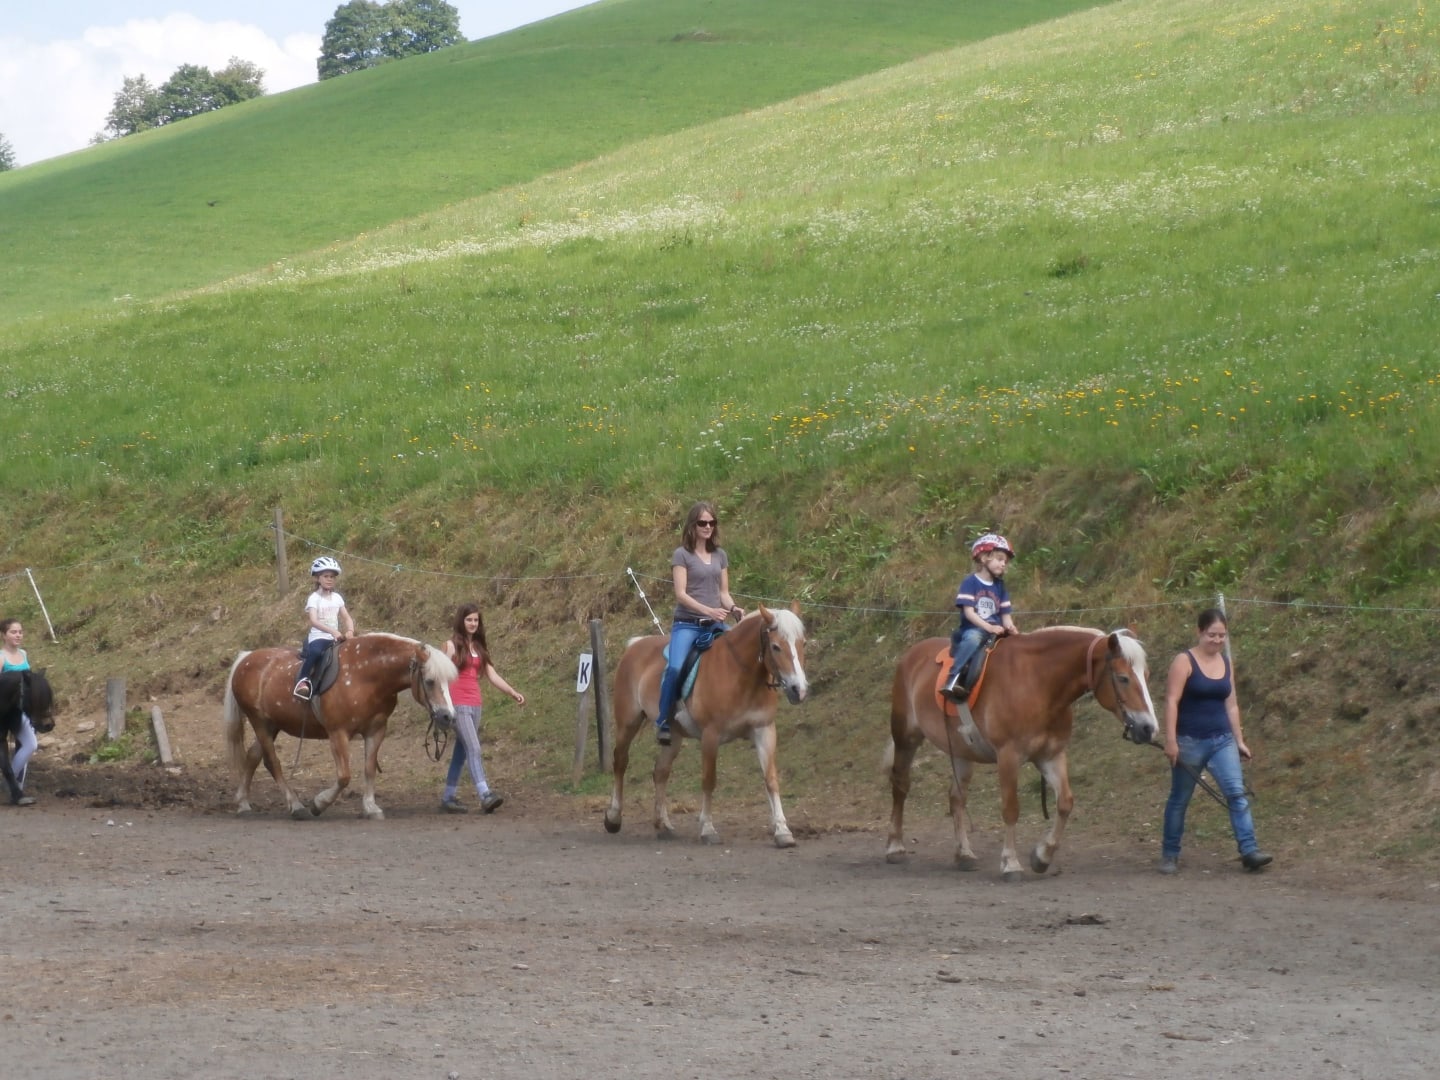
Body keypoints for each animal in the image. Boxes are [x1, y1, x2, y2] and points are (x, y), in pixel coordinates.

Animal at [222, 633, 457, 820]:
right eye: (430, 681)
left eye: (449, 682)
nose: (448, 717)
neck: (366, 675)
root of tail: (246, 658)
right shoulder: (338, 733)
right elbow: (344, 776)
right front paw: (319, 804)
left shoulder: (376, 730)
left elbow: (369, 769)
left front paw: (370, 807)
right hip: (259, 721)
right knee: (272, 762)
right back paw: (296, 806)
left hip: (272, 725)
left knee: (253, 756)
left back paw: (243, 803)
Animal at [605, 605, 809, 847]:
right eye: (776, 647)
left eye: (803, 643)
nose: (799, 690)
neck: (740, 674)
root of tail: (635, 645)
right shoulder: (711, 735)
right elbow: (709, 780)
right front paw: (707, 829)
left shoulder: (764, 730)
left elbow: (771, 779)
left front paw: (782, 831)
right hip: (628, 723)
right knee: (620, 762)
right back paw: (613, 817)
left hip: (673, 736)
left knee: (660, 772)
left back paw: (662, 825)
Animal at [884, 626, 1159, 880]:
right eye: (1123, 678)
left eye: (1146, 675)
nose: (1149, 728)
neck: (1039, 683)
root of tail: (912, 654)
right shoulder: (1008, 756)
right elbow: (1011, 809)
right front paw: (1010, 863)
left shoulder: (1051, 756)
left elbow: (1065, 803)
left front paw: (1042, 857)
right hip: (906, 738)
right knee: (901, 786)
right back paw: (895, 847)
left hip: (962, 751)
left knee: (956, 798)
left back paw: (964, 854)